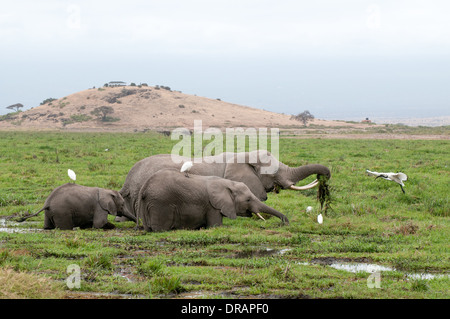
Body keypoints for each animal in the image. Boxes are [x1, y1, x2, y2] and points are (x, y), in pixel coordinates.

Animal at [137, 170, 290, 232]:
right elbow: (216, 226)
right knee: (160, 229)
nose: (285, 223)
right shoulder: (212, 206)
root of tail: (144, 187)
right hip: (160, 204)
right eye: (248, 199)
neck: (228, 184)